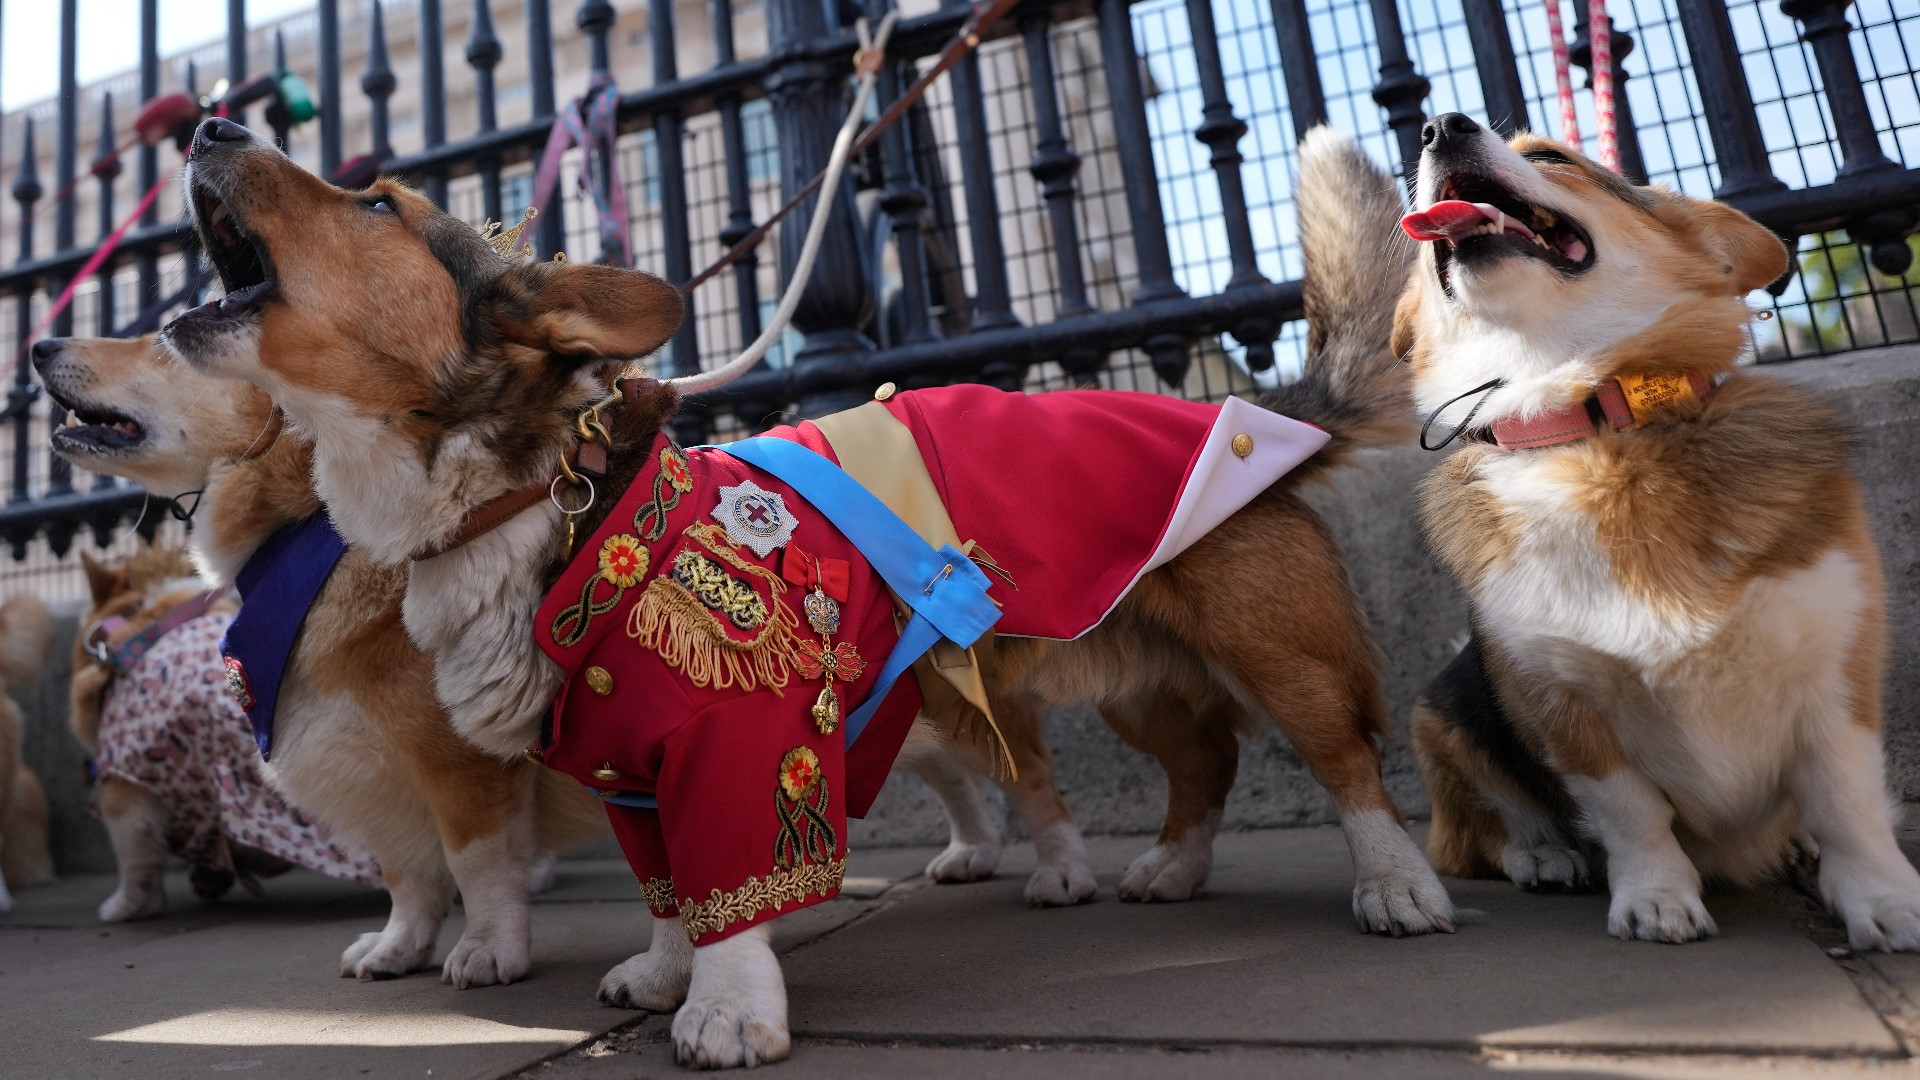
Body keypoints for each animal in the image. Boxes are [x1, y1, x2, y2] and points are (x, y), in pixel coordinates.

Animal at [33, 332, 610, 980]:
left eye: (165, 339)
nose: (39, 347)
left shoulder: (466, 766)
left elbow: (479, 867)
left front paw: (487, 950)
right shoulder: (378, 778)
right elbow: (408, 877)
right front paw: (397, 949)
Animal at [168, 113, 1451, 1060]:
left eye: (378, 206)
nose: (212, 120)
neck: (536, 497)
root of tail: (1260, 413)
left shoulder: (737, 742)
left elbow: (728, 879)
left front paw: (727, 1009)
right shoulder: (626, 771)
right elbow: (669, 890)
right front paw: (666, 970)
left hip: (1277, 649)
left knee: (1344, 762)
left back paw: (1397, 887)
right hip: (1136, 673)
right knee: (1205, 762)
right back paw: (1172, 868)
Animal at [1397, 113, 1920, 945]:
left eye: (1553, 156)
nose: (1439, 124)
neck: (1593, 428)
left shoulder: (1839, 670)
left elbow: (1848, 800)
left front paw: (1884, 898)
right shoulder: (1565, 704)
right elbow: (1631, 815)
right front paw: (1655, 899)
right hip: (1442, 715)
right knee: (1477, 837)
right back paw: (1544, 855)